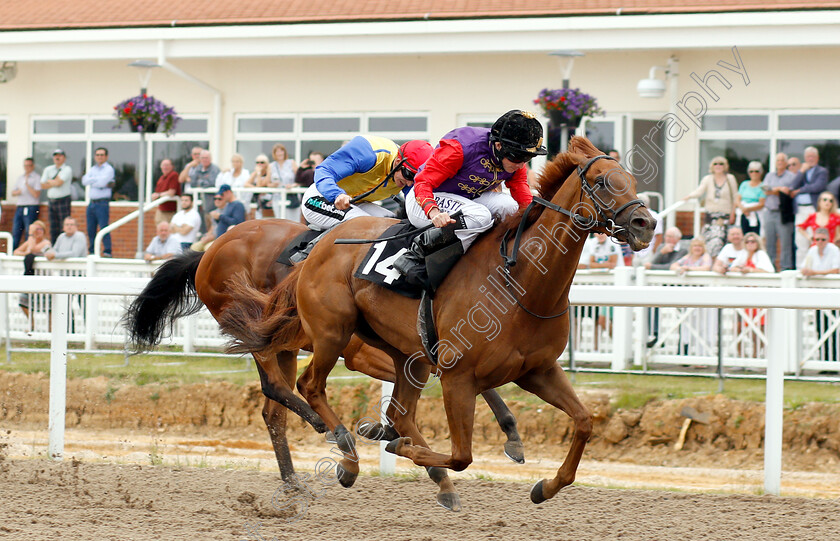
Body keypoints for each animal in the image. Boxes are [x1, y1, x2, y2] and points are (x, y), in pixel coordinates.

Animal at [121, 219, 520, 498]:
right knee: (275, 386)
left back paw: (293, 478)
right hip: (253, 329)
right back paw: (321, 425)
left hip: (283, 345)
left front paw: (510, 432)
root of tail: (207, 252)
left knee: (272, 411)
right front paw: (381, 434)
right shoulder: (364, 354)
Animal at [218, 137, 656, 508]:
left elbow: (584, 422)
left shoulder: (538, 370)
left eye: (633, 181)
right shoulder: (458, 376)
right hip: (332, 331)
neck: (521, 284)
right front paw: (397, 448)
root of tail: (323, 243)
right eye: (602, 181)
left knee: (395, 412)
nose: (645, 225)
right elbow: (462, 455)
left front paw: (545, 487)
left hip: (402, 351)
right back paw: (348, 455)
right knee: (310, 386)